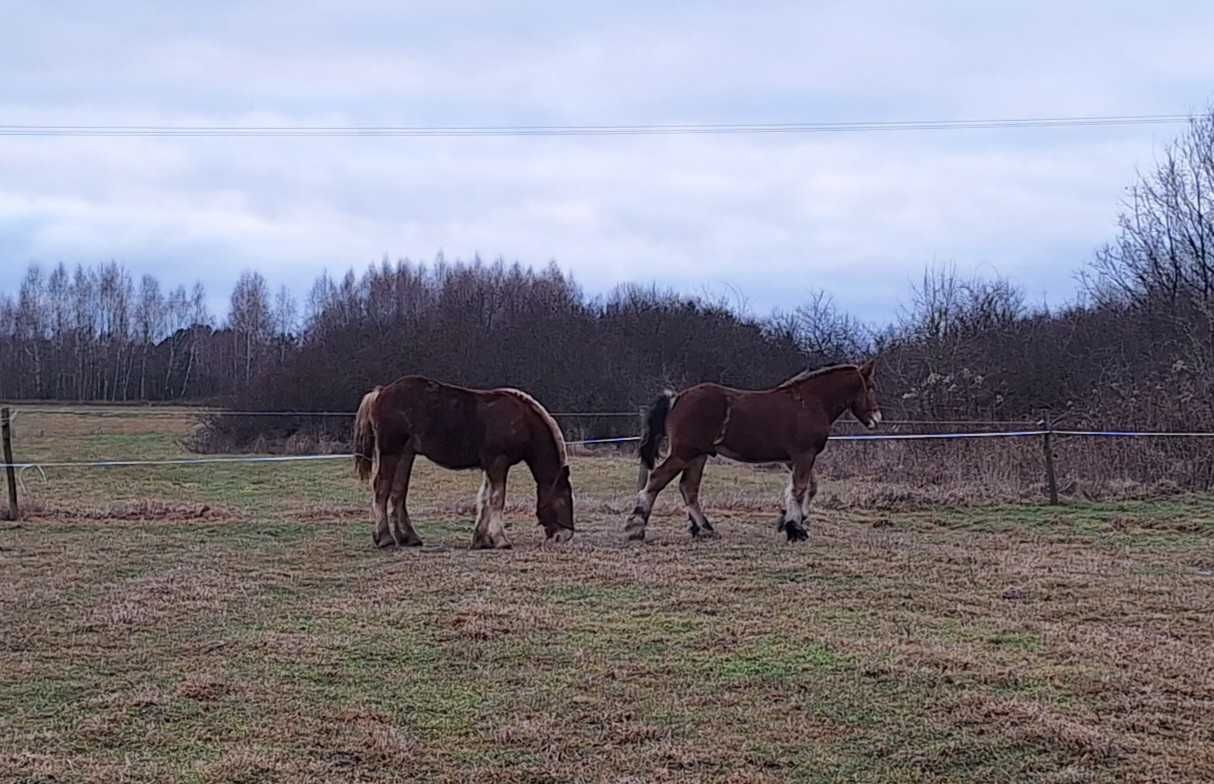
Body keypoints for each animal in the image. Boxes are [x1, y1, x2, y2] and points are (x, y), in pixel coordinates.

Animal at [354, 376, 575, 550]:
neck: (523, 422)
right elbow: (497, 498)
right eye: (564, 499)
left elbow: (484, 498)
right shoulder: (498, 462)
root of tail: (380, 392)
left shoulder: (489, 465)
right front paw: (500, 539)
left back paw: (408, 537)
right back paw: (385, 538)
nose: (565, 536)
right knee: (381, 489)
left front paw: (481, 539)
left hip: (406, 454)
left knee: (398, 492)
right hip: (390, 452)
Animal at [626, 364, 883, 543]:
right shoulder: (803, 455)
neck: (809, 402)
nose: (876, 418)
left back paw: (705, 529)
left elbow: (807, 488)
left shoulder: (792, 459)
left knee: (688, 488)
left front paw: (788, 521)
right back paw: (636, 527)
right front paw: (796, 529)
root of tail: (676, 399)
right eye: (870, 387)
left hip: (698, 455)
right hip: (683, 453)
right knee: (657, 479)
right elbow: (800, 490)